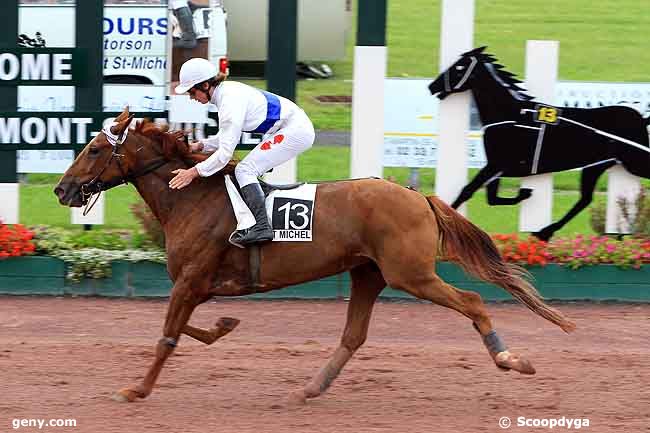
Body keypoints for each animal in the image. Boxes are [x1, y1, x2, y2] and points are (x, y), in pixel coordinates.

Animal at [54, 107, 572, 402]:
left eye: (95, 148)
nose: (62, 189)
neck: (193, 200)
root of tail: (417, 195)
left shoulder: (191, 281)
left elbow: (168, 336)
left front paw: (137, 389)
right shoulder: (198, 285)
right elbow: (186, 329)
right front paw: (225, 324)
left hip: (411, 275)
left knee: (473, 302)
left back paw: (510, 360)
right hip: (369, 274)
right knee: (354, 335)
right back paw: (312, 386)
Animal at [428, 47, 648, 240]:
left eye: (459, 67)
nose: (432, 86)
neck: (511, 115)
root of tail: (640, 117)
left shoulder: (498, 164)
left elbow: (468, 191)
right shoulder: (498, 167)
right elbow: (491, 197)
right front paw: (524, 193)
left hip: (634, 161)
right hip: (595, 166)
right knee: (584, 199)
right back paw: (545, 231)